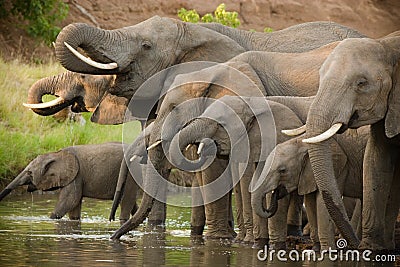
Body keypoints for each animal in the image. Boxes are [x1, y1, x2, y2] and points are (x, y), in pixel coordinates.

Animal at [0, 143, 139, 223]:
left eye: (29, 173)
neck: (56, 154)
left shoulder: (76, 175)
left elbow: (71, 199)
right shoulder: (75, 177)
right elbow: (74, 207)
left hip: (131, 173)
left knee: (127, 199)